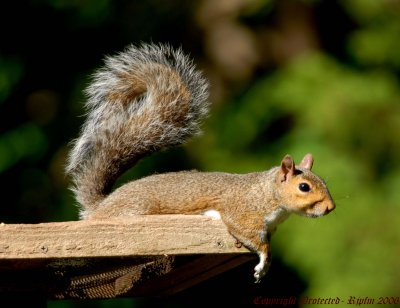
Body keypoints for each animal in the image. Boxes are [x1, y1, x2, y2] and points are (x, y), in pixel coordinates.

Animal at [67, 43, 336, 282]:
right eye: (304, 187)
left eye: (323, 181)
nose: (330, 207)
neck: (268, 193)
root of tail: (100, 208)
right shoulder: (243, 212)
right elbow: (249, 235)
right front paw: (264, 260)